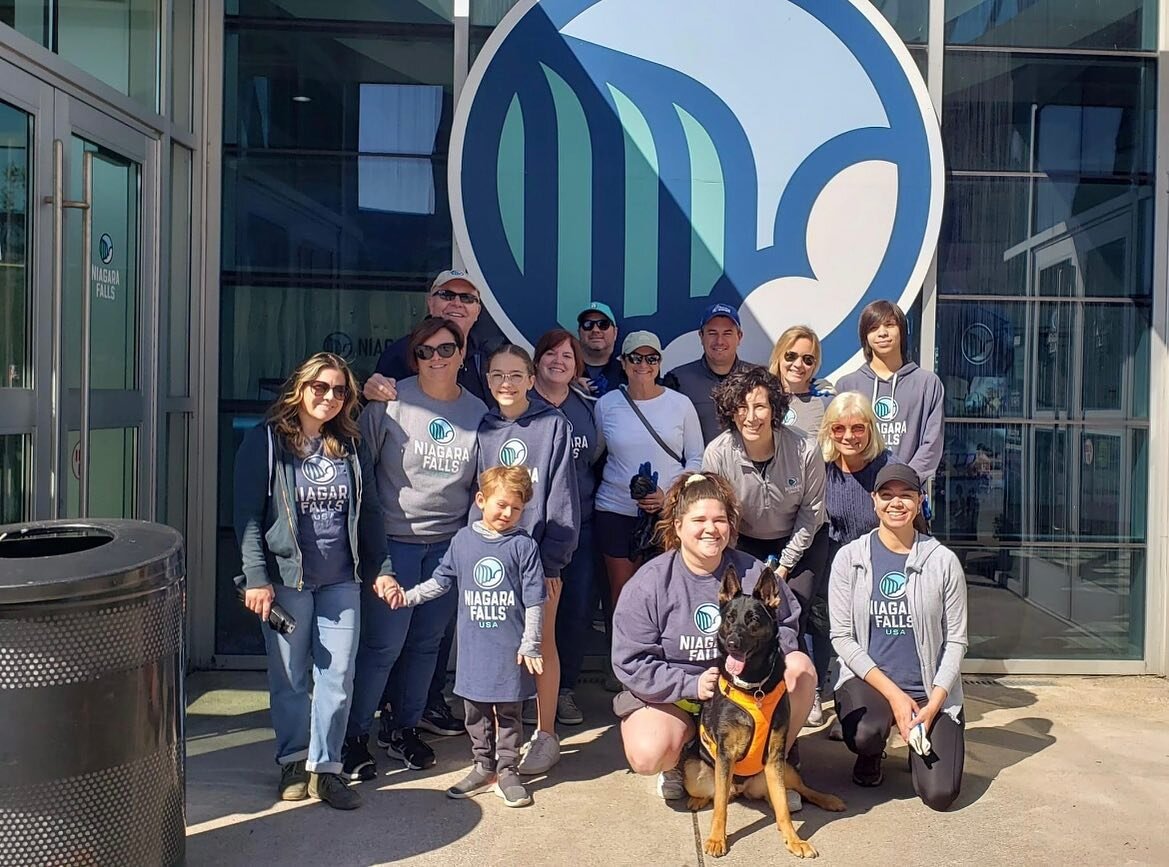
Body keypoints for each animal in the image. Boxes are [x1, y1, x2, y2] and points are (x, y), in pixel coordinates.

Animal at [682, 567, 846, 859]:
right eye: (730, 618)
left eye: (753, 620)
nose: (732, 643)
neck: (754, 686)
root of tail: (741, 789)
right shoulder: (725, 754)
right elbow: (720, 807)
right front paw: (716, 838)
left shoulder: (774, 754)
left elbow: (782, 808)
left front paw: (794, 839)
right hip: (693, 770)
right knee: (718, 794)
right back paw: (698, 798)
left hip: (783, 769)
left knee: (796, 791)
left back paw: (826, 799)